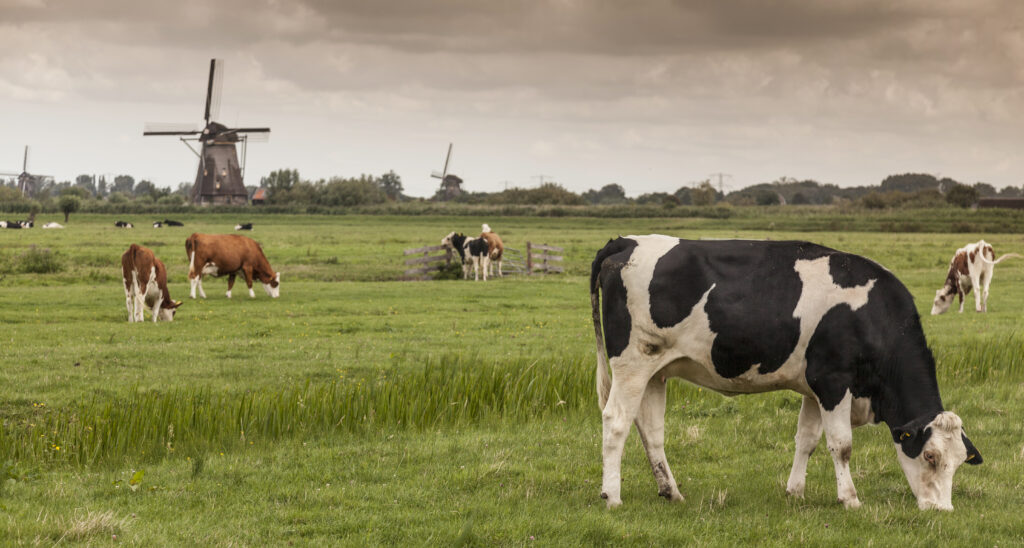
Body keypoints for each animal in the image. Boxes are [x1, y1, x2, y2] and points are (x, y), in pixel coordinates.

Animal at [593, 235, 983, 510]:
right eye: (930, 456)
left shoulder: (814, 388)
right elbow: (841, 445)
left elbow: (807, 439)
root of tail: (626, 241)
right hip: (632, 362)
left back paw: (671, 492)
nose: (942, 509)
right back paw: (612, 496)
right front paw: (850, 499)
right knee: (616, 421)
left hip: (655, 371)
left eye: (959, 462)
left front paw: (795, 491)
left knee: (651, 430)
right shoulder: (833, 381)